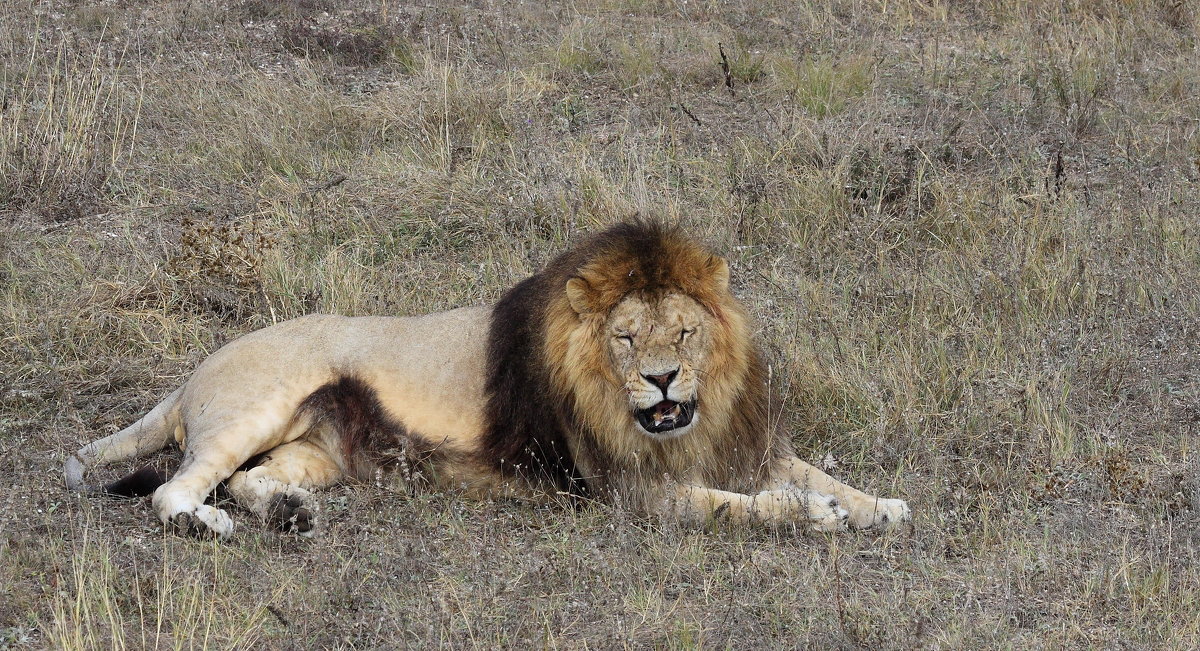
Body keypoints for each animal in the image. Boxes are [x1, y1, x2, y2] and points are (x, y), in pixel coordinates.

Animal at [65, 222, 907, 538]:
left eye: (683, 332)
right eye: (626, 337)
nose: (664, 379)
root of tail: (190, 374)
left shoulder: (741, 443)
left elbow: (813, 472)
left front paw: (882, 504)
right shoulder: (631, 490)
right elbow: (743, 505)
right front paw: (818, 513)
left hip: (319, 449)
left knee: (249, 478)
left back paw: (291, 511)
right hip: (254, 408)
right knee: (181, 486)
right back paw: (210, 523)